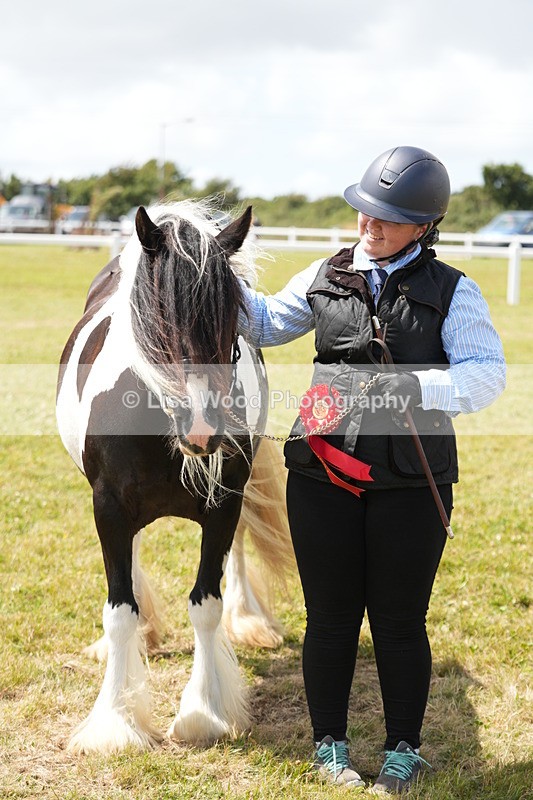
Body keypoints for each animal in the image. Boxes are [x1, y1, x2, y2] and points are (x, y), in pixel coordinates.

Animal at [56, 201, 294, 754]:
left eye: (234, 326)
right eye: (159, 325)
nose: (204, 429)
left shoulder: (225, 503)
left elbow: (206, 603)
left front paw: (204, 713)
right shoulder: (109, 507)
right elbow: (119, 610)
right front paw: (115, 723)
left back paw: (247, 621)